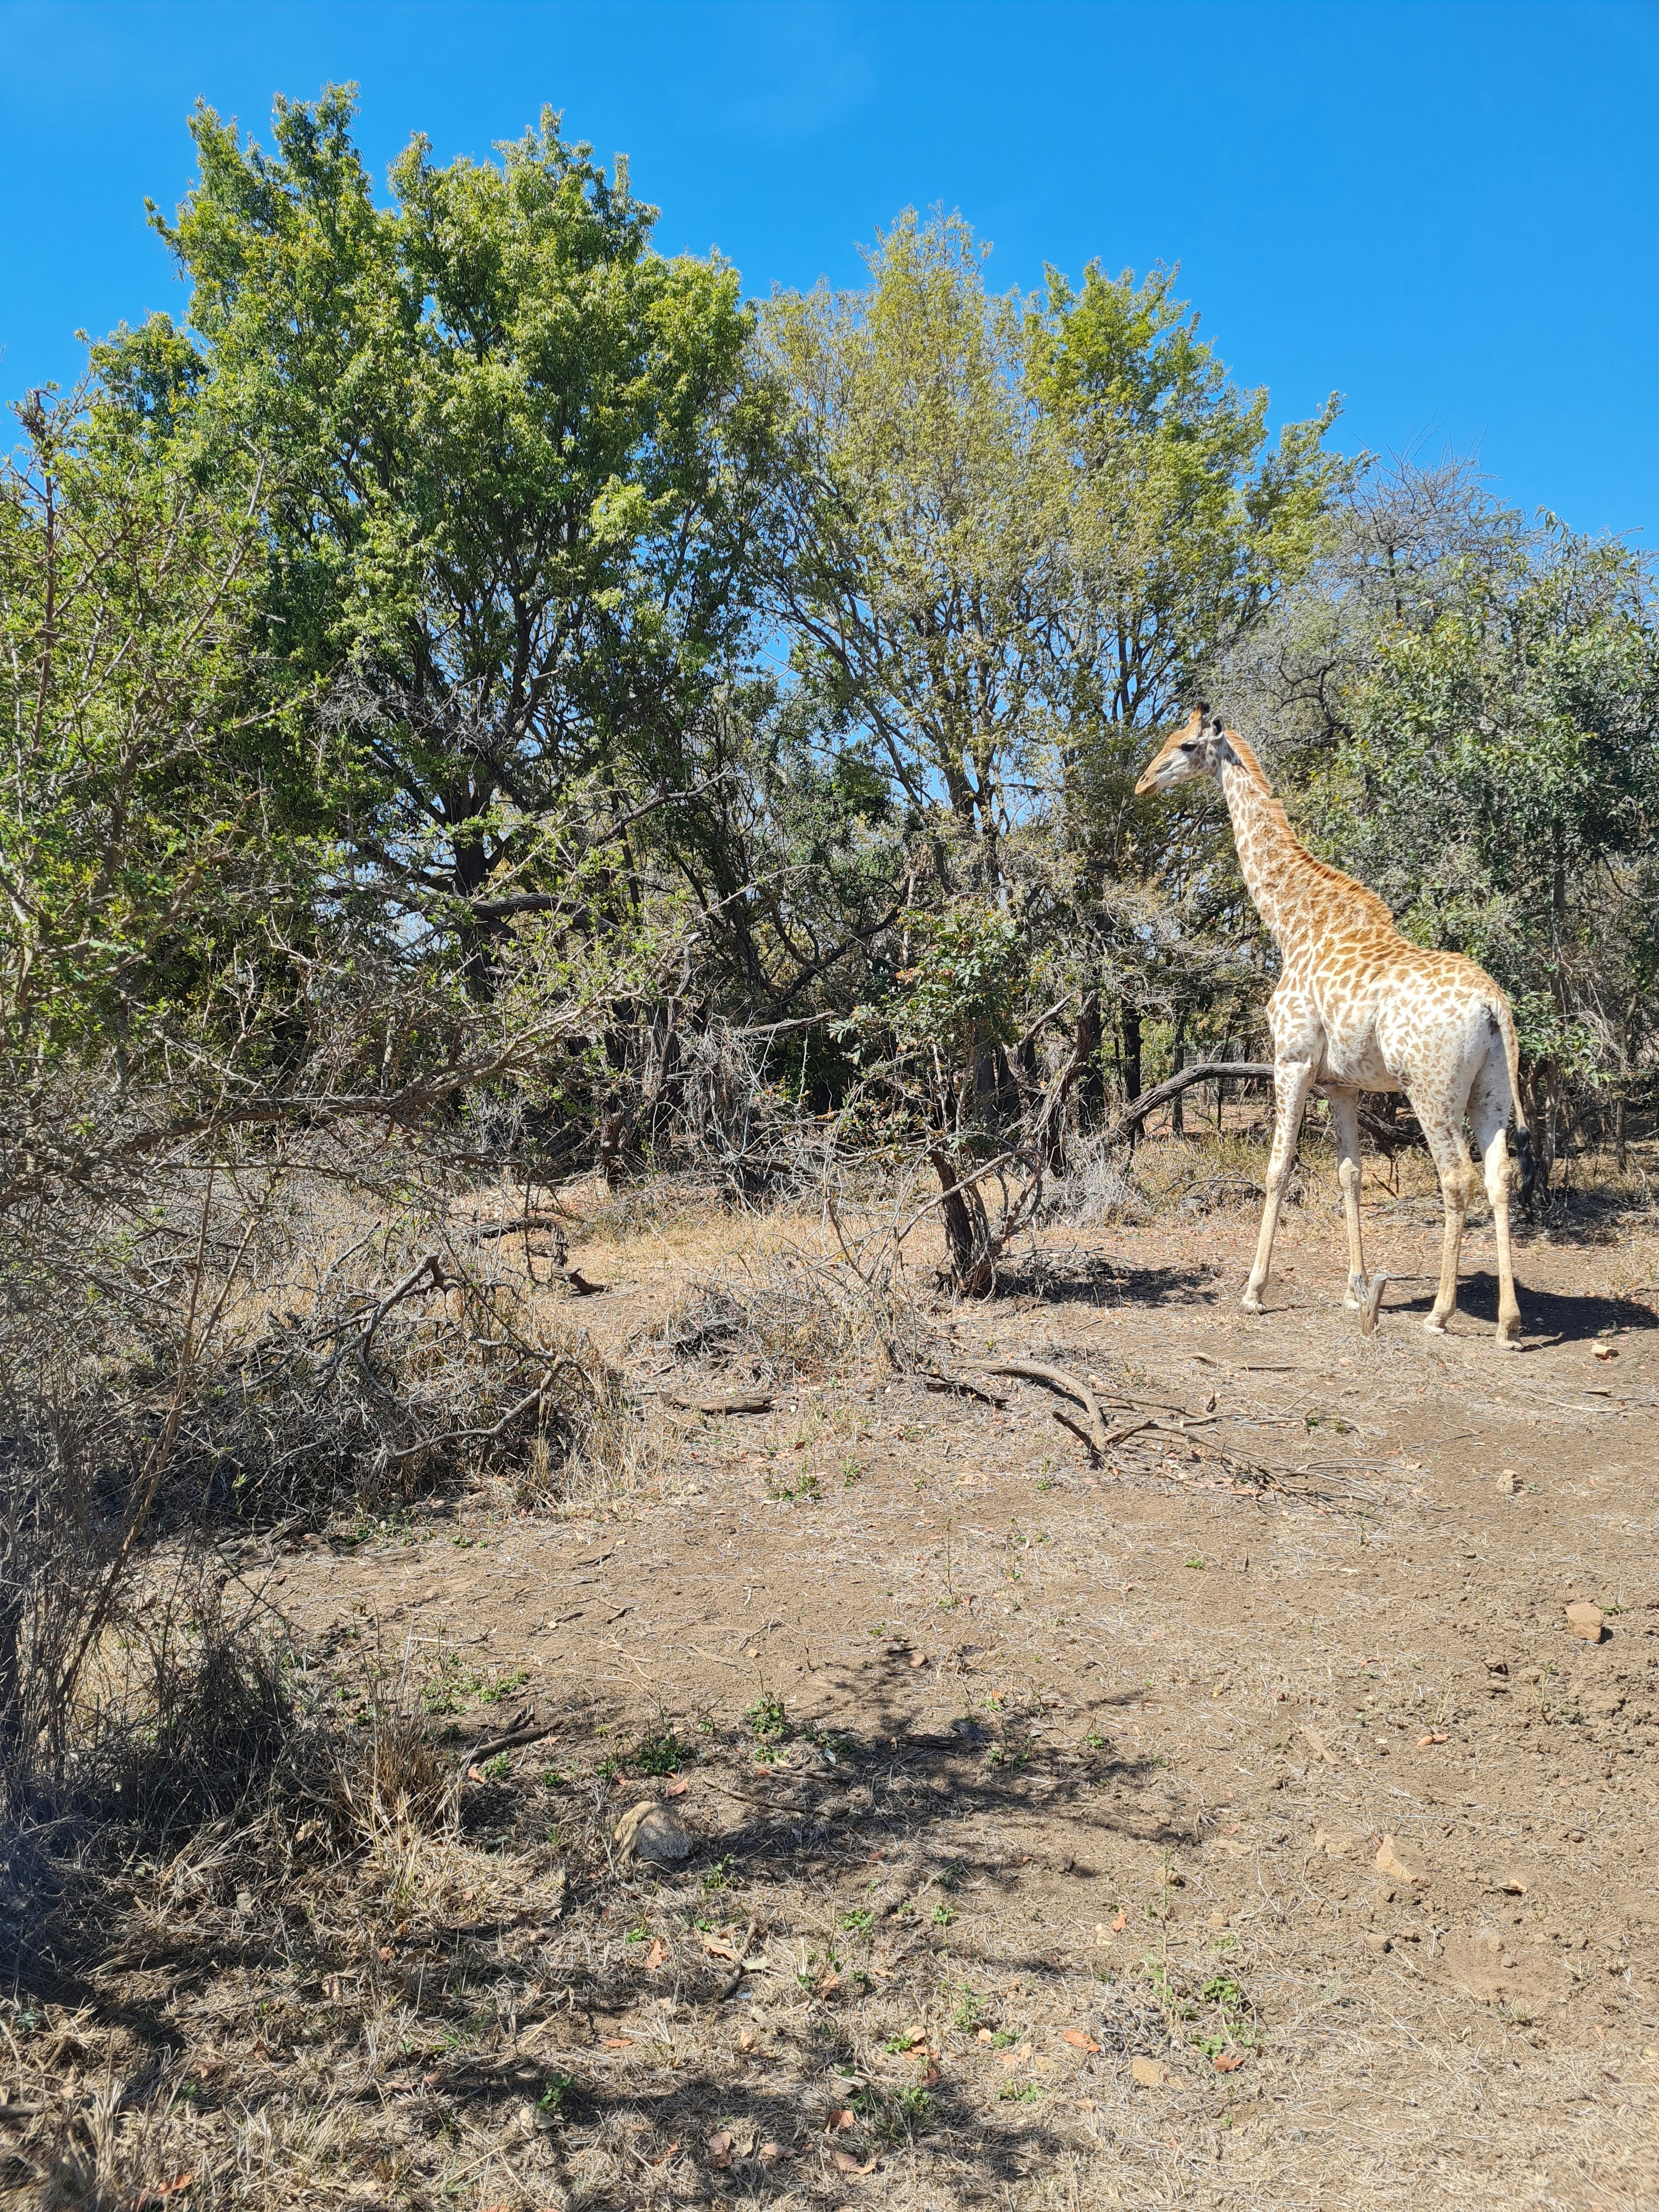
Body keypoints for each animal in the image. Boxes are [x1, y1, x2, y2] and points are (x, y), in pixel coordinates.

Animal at [1134, 706, 1533, 1344]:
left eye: (1187, 745)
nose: (1144, 783)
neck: (1292, 922)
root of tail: (1495, 1004)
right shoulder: (1343, 1084)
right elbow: (1351, 1173)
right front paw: (1356, 1290)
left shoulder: (1291, 1059)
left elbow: (1278, 1169)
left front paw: (1253, 1291)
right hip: (1491, 1088)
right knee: (1499, 1179)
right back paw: (1508, 1321)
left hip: (1431, 1087)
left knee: (1457, 1179)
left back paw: (1441, 1313)